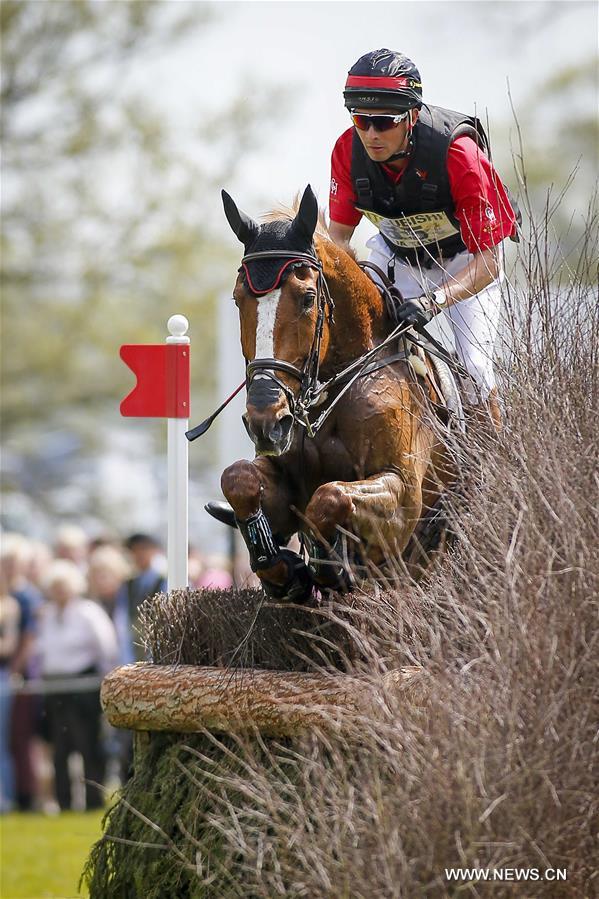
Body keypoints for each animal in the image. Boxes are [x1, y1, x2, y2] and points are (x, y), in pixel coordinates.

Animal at [213, 185, 452, 600]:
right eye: (238, 298)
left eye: (308, 298)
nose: (266, 422)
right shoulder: (280, 472)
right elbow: (238, 478)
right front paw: (281, 567)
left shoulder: (404, 493)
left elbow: (330, 496)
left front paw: (331, 561)